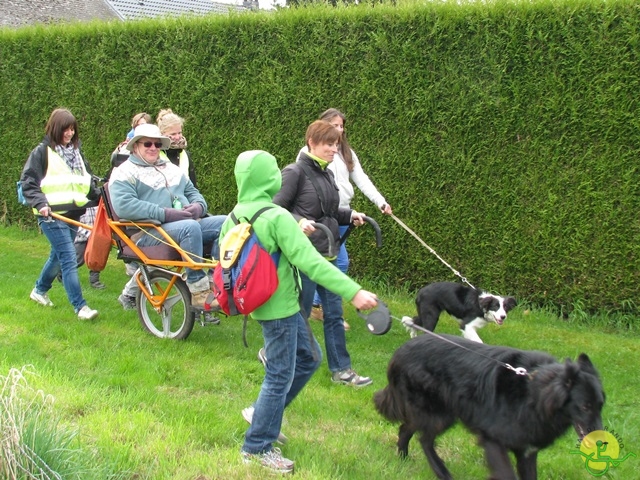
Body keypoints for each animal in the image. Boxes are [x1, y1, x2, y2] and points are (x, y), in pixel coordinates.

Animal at [372, 334, 604, 480]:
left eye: (601, 405)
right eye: (585, 406)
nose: (602, 441)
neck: (533, 392)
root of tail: (399, 352)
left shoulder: (527, 451)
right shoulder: (493, 440)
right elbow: (506, 474)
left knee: (406, 428)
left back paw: (403, 459)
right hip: (439, 414)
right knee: (424, 439)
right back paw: (441, 472)